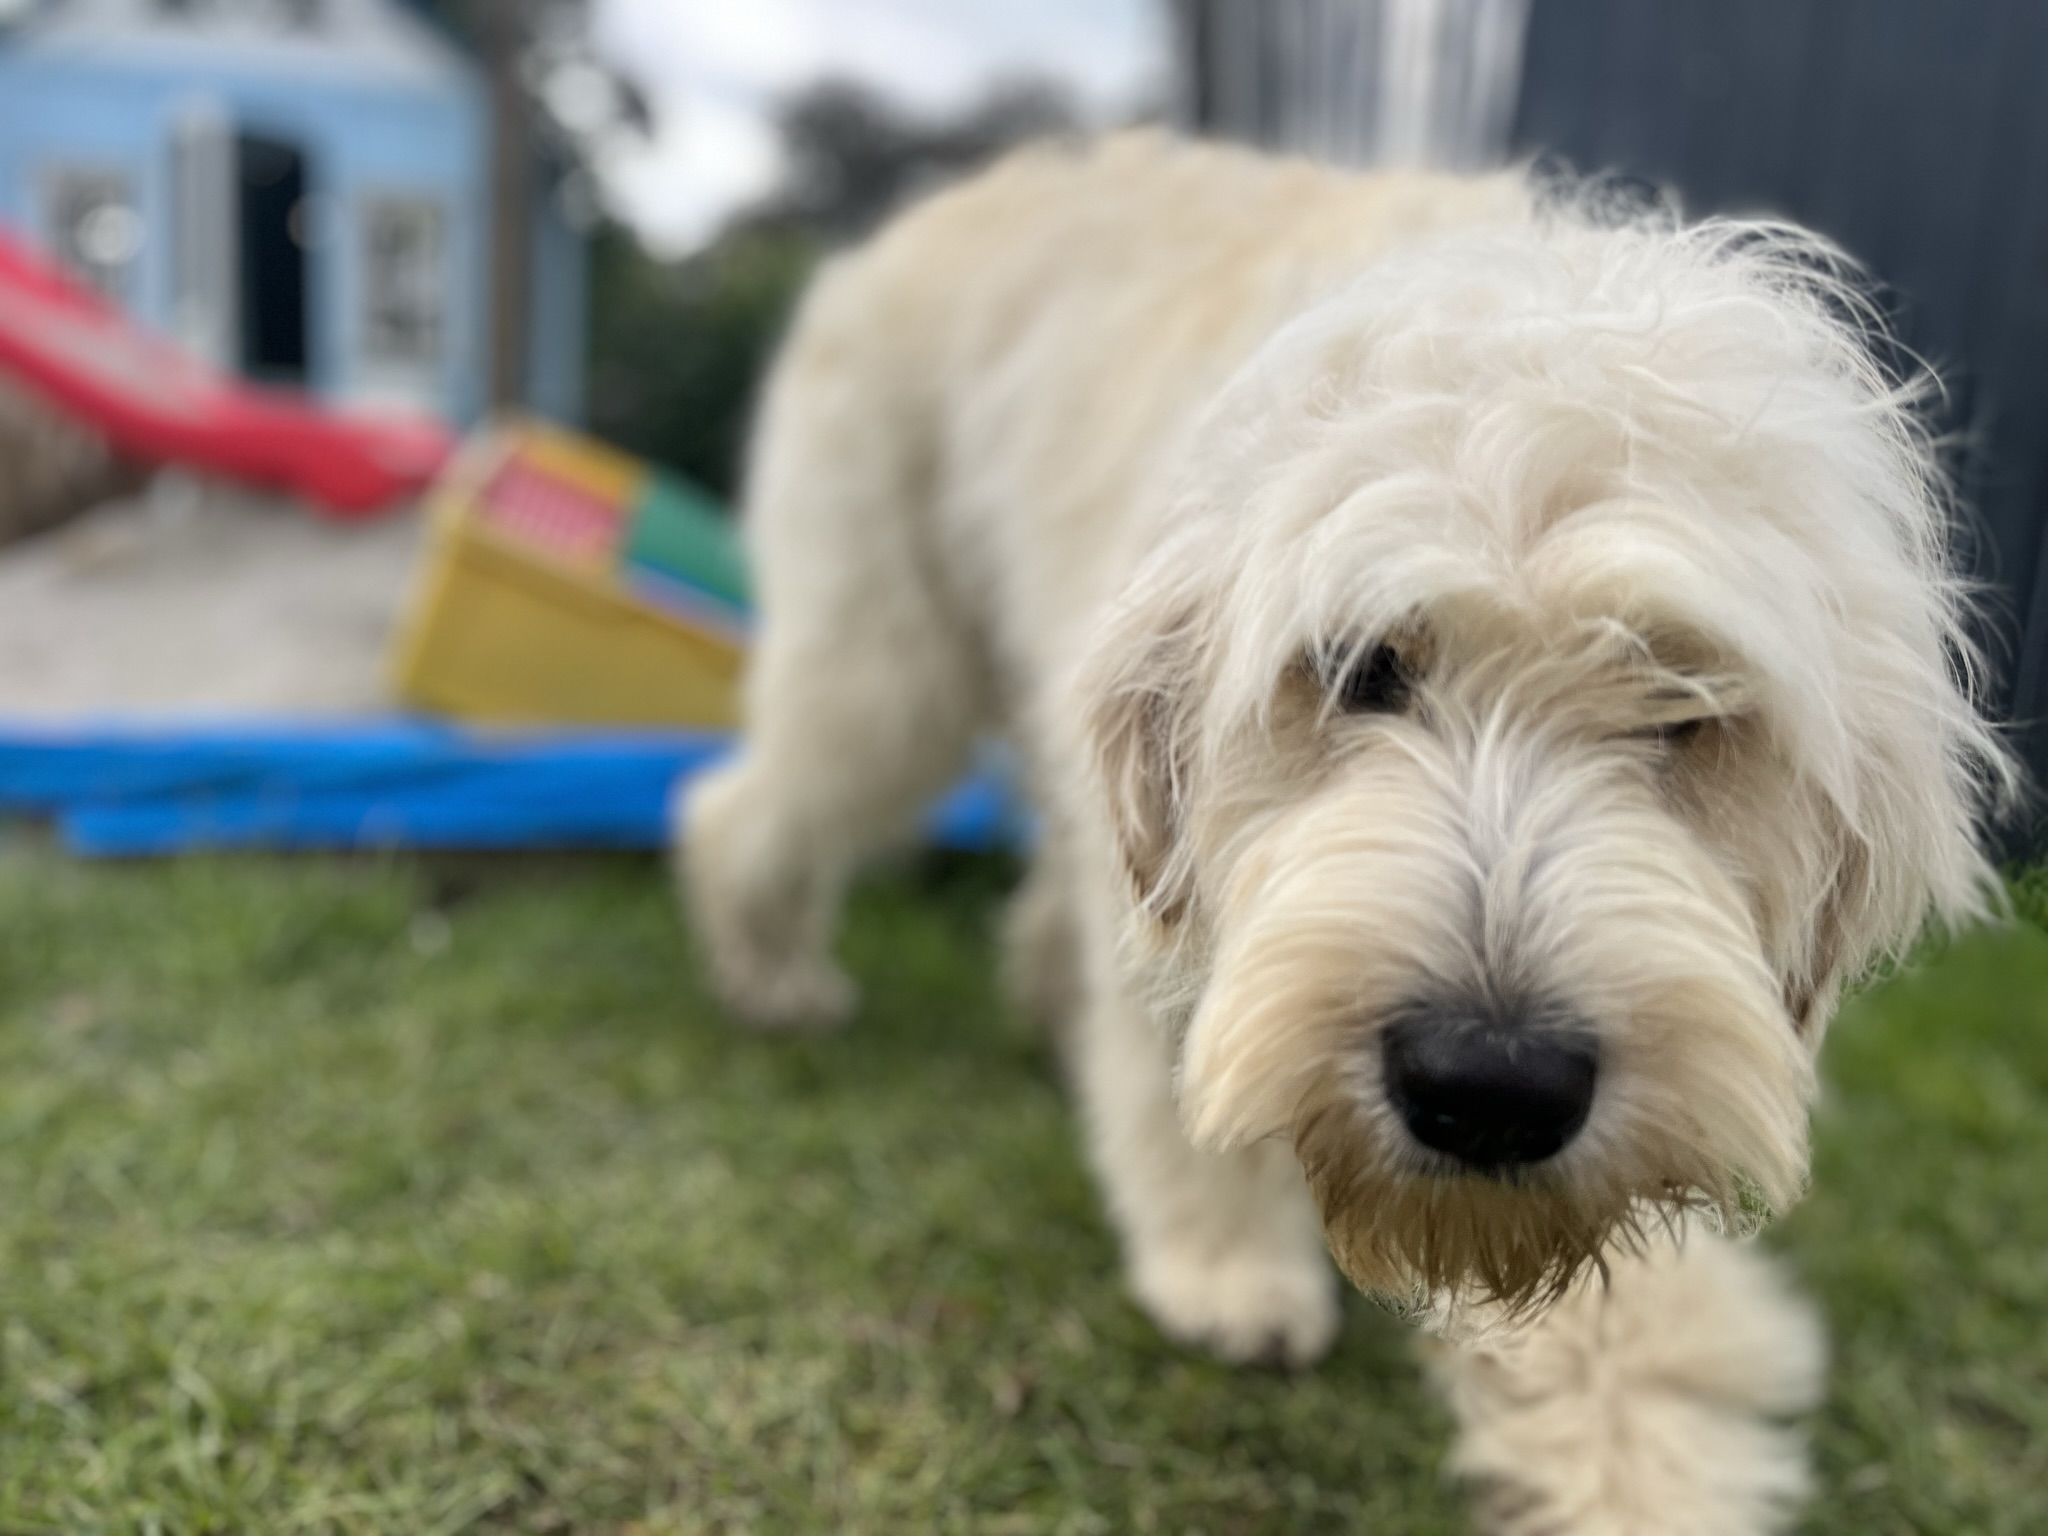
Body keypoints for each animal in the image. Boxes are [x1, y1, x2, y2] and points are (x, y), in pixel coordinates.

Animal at [679, 135, 2007, 1536]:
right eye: (1367, 667)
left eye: (1684, 705)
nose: (1489, 1087)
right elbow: (1169, 1060)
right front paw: (1224, 1264)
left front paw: (1643, 1461)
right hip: (887, 661)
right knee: (747, 802)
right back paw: (769, 975)